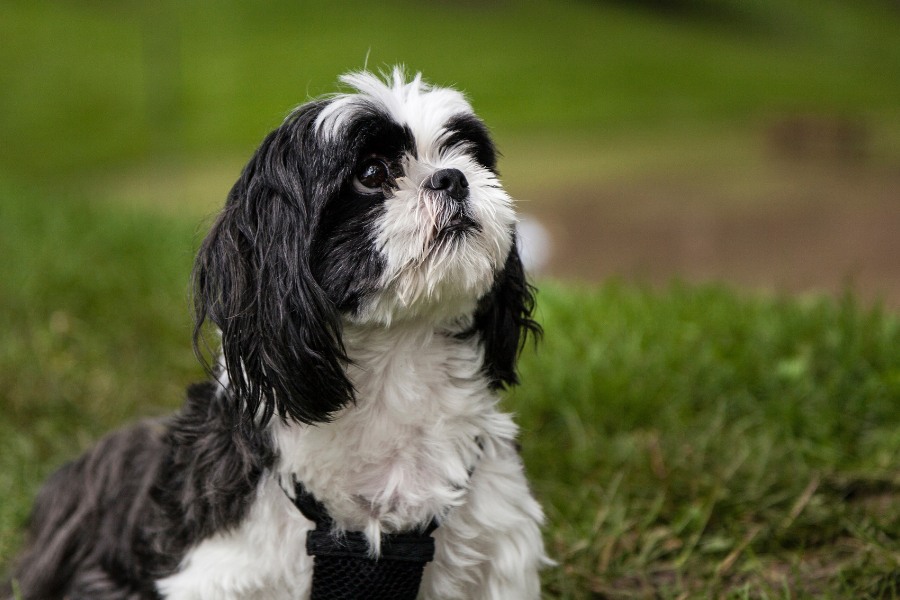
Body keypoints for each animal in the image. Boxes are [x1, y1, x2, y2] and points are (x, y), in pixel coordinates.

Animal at [10, 69, 548, 596]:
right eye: (372, 173)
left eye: (468, 155)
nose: (452, 177)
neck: (398, 364)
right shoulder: (220, 564)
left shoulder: (498, 541)